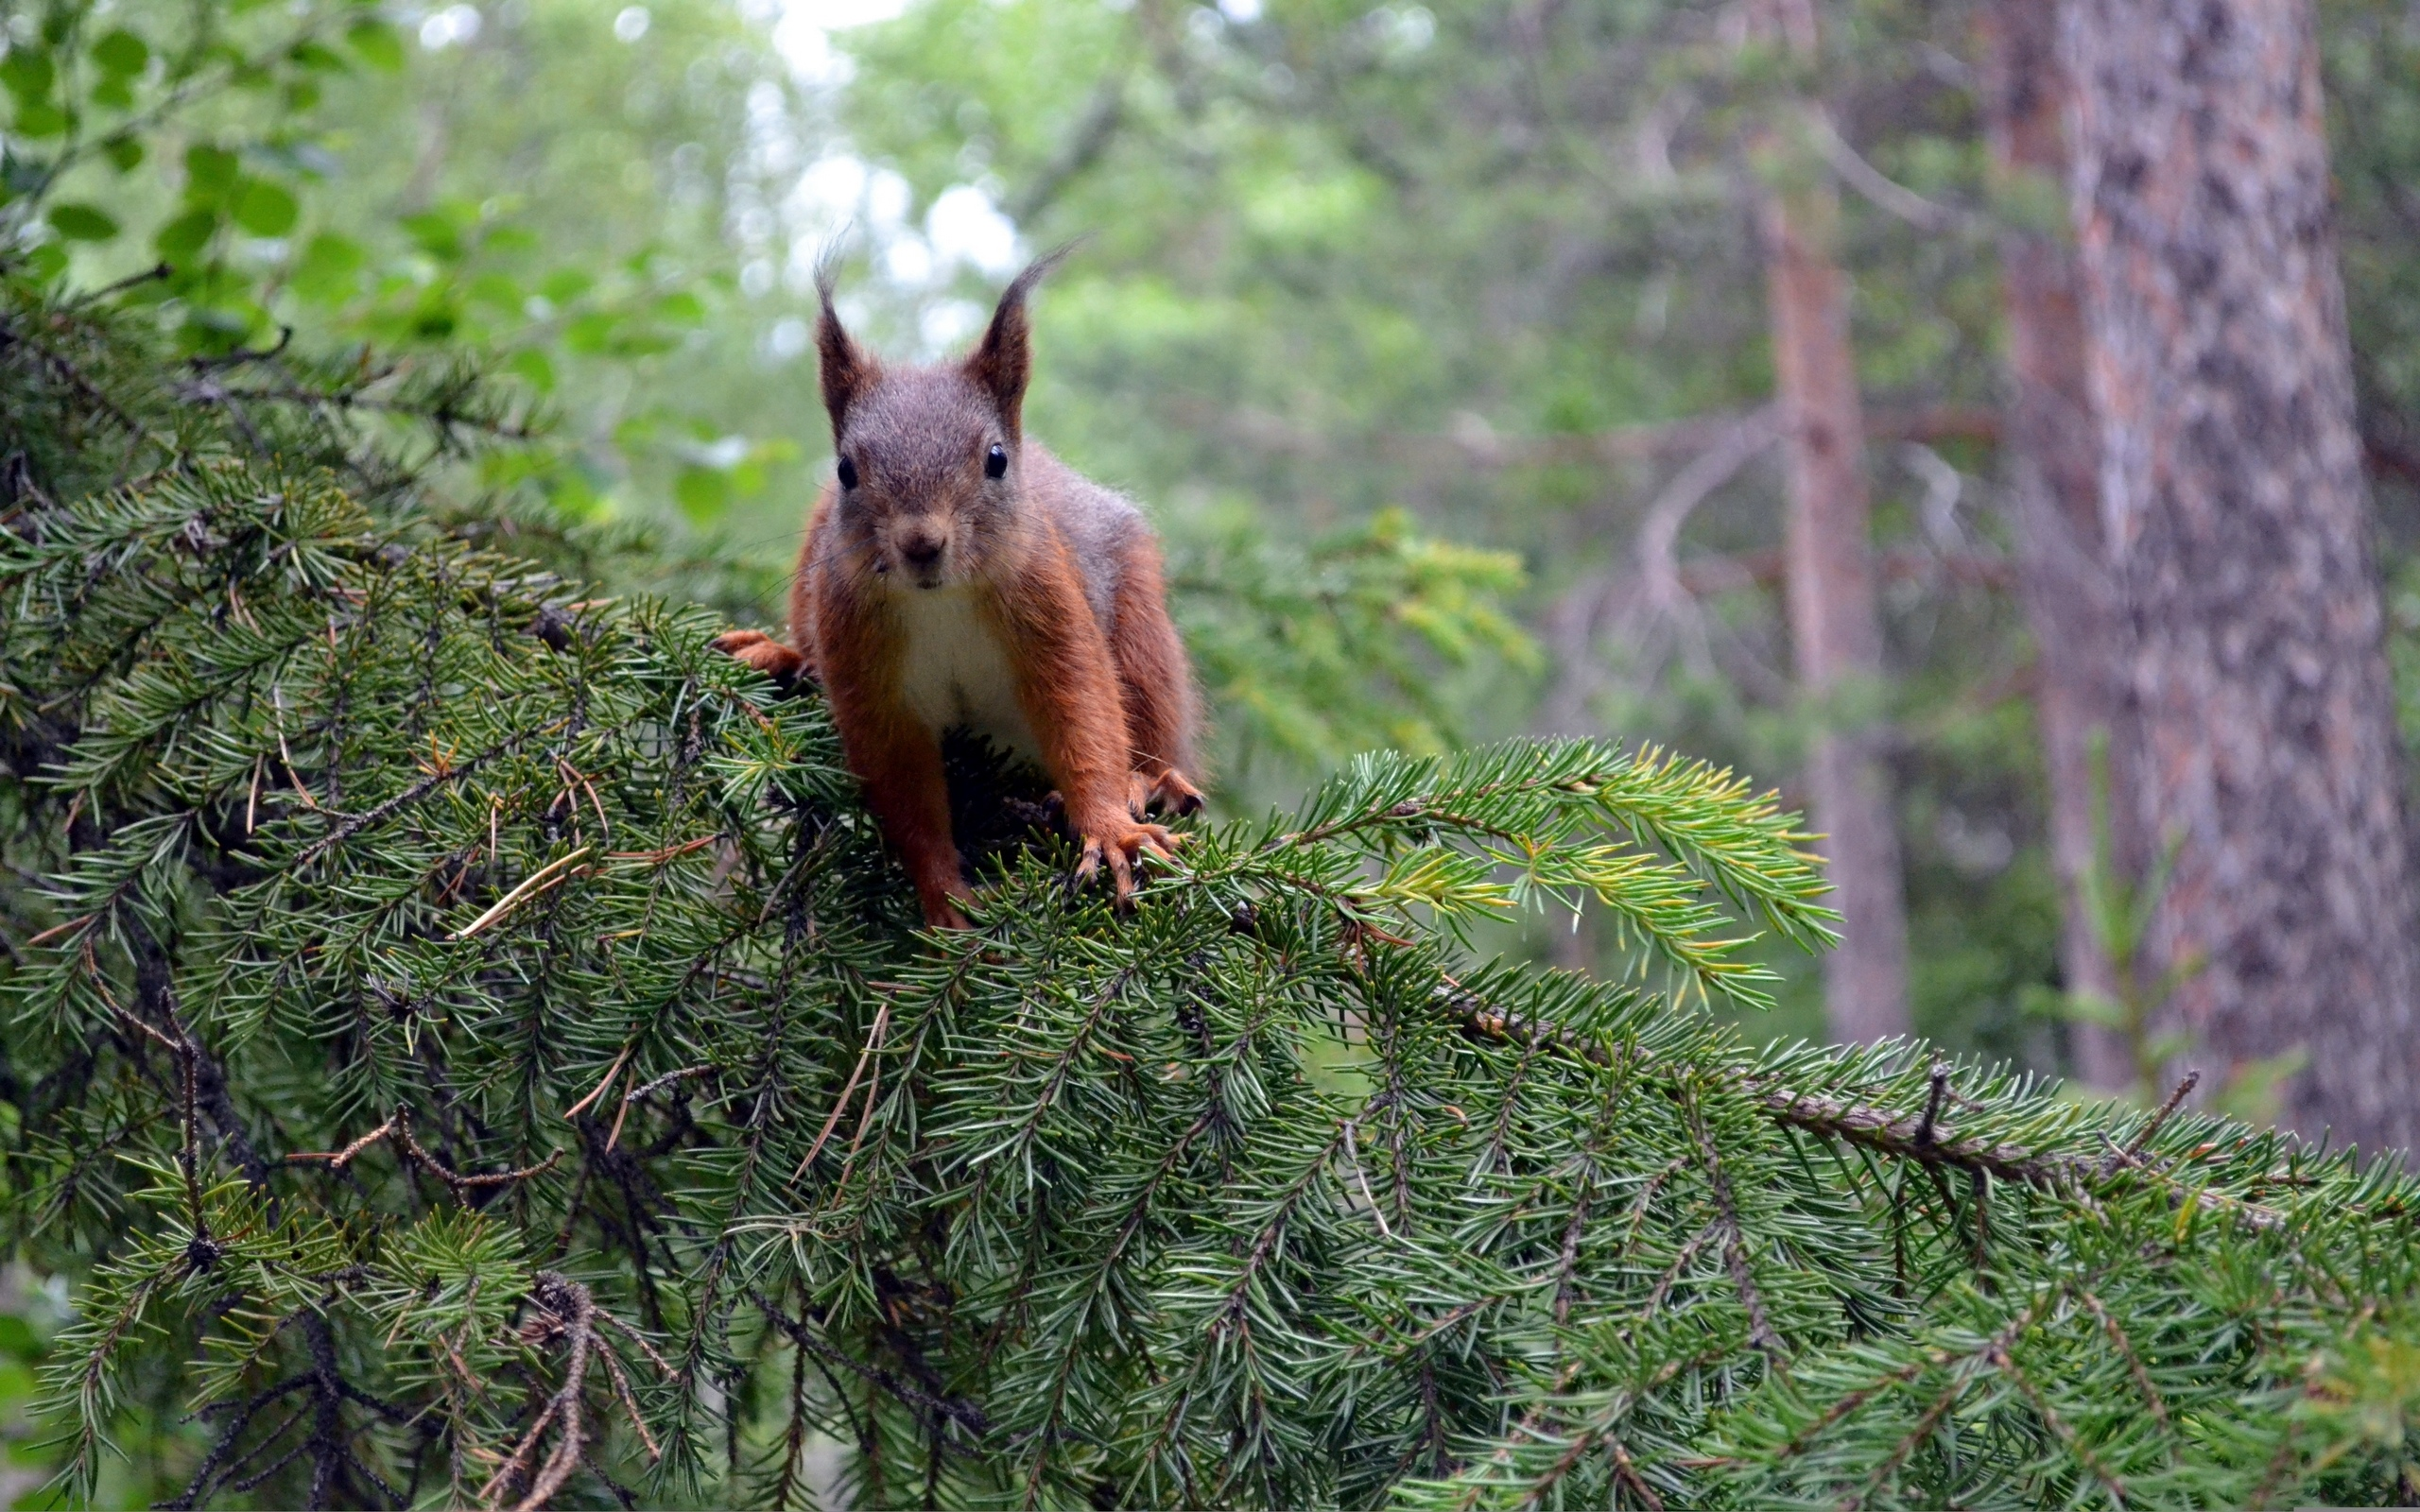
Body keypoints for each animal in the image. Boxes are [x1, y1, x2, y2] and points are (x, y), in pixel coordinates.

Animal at [716, 253, 1210, 923]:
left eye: (995, 459)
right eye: (845, 470)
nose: (922, 543)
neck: (940, 601)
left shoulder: (1050, 611)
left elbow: (1083, 713)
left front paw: (1111, 831)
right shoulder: (863, 663)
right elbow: (904, 792)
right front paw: (945, 897)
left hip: (1138, 624)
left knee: (1152, 716)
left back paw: (1152, 782)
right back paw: (780, 656)